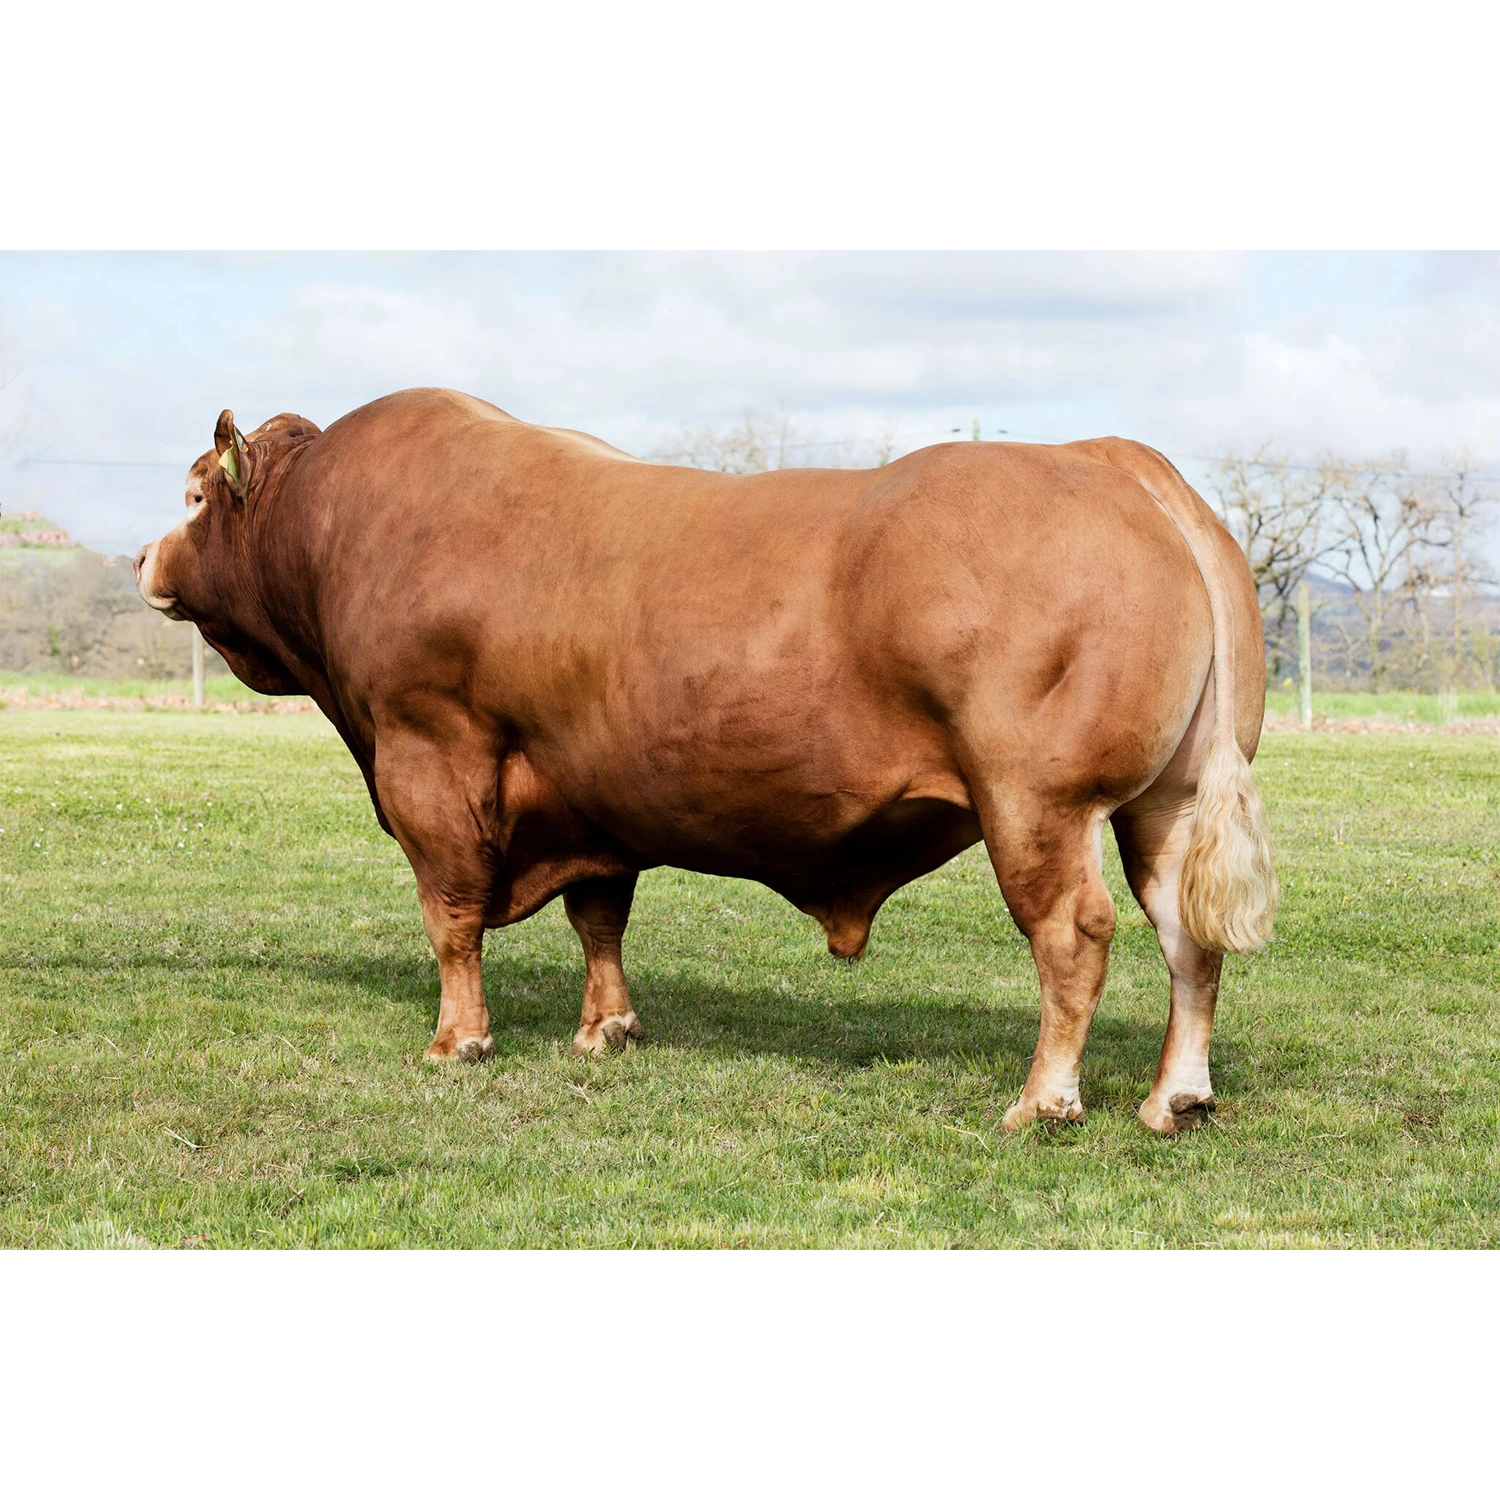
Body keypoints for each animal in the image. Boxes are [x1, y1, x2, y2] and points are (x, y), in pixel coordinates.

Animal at [136, 388, 1276, 1135]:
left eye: (193, 497)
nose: (142, 556)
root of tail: (1111, 458)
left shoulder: (429, 756)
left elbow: (450, 914)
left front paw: (458, 1040)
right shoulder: (585, 791)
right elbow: (599, 915)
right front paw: (607, 1029)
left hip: (1038, 801)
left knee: (1074, 935)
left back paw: (1044, 1102)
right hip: (1166, 803)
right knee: (1188, 938)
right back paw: (1176, 1098)